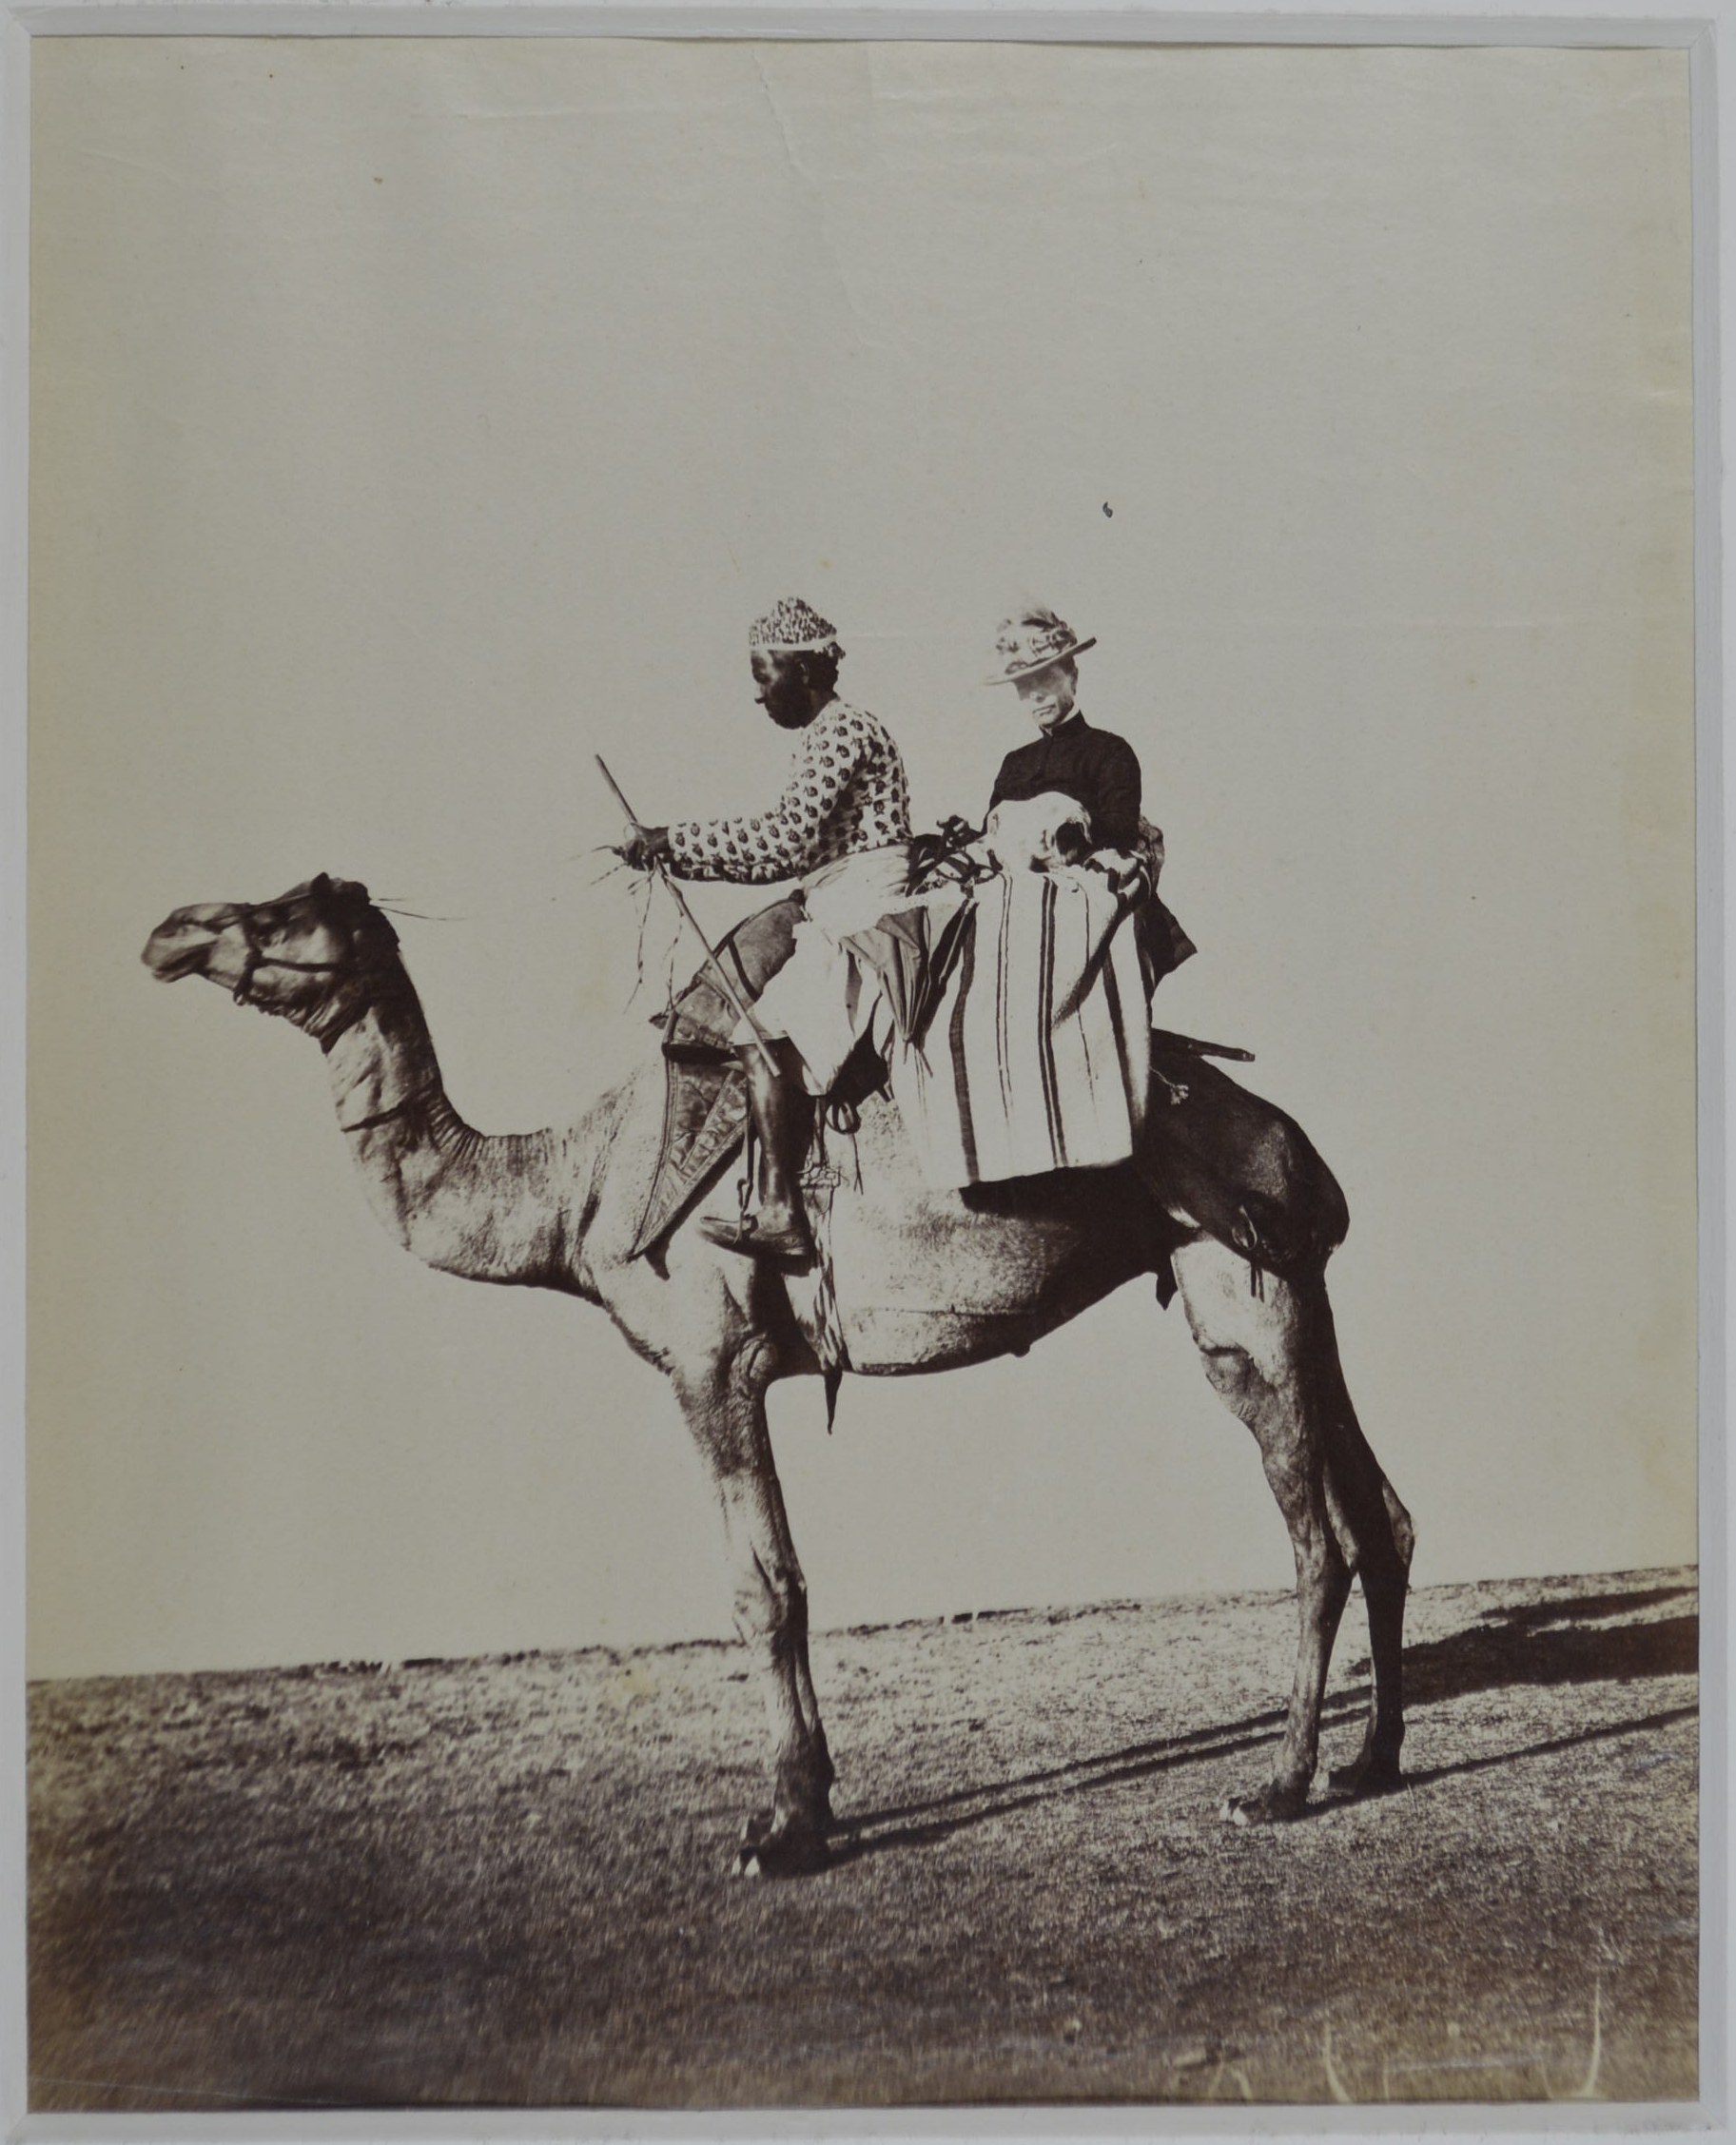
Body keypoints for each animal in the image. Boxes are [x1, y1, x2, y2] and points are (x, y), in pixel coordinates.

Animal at [146, 870, 1407, 1879]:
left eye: (282, 910)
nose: (169, 929)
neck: (569, 1192)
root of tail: (1297, 1144)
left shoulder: (712, 1362)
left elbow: (765, 1588)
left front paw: (788, 1825)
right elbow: (772, 1582)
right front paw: (799, 1807)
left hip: (1238, 1293)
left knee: (1316, 1536)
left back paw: (1278, 1785)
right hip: (1301, 1297)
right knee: (1378, 1514)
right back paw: (1370, 1759)